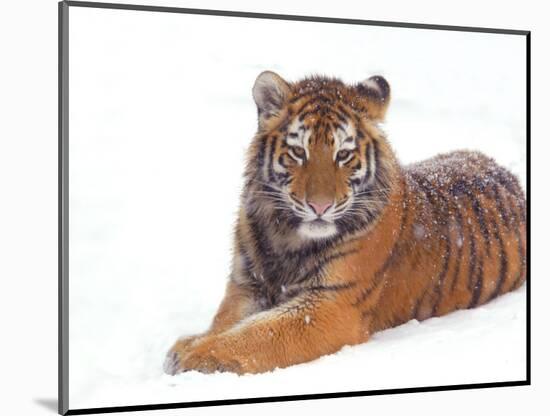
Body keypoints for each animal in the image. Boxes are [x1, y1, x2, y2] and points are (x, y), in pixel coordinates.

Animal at [165, 70, 532, 376]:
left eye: (343, 155)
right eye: (298, 152)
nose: (320, 206)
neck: (286, 236)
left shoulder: (333, 305)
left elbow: (257, 332)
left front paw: (194, 355)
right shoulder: (247, 285)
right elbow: (226, 321)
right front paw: (192, 343)